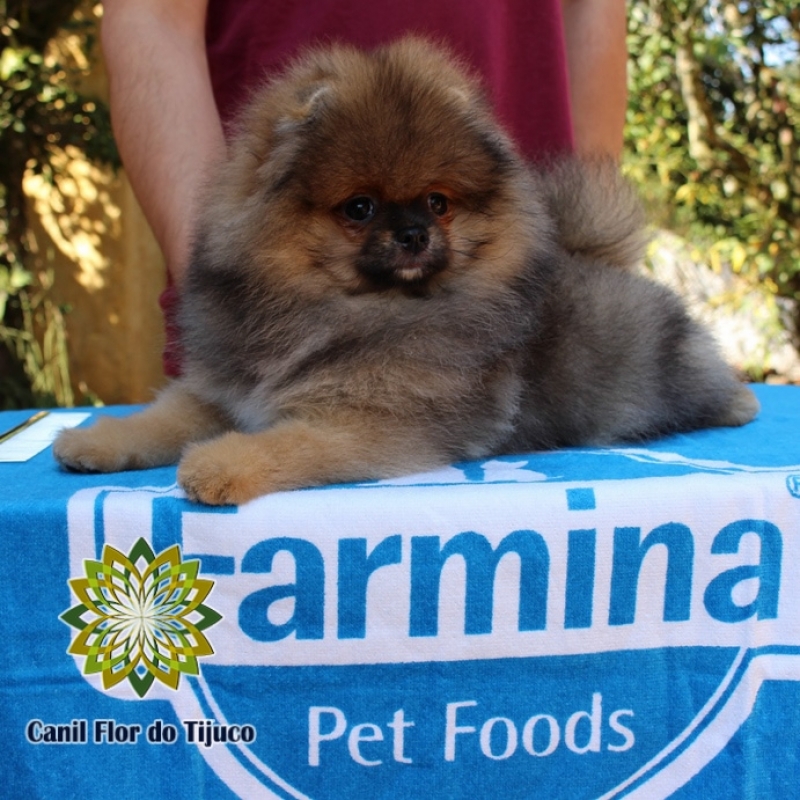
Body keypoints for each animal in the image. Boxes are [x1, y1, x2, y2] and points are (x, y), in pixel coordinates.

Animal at [53, 37, 760, 504]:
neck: (331, 310)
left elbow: (290, 444)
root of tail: (598, 257)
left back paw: (741, 402)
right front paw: (94, 441)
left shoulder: (375, 423)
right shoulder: (221, 390)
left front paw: (219, 465)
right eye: (359, 207)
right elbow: (161, 418)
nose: (416, 233)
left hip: (665, 371)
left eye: (438, 202)